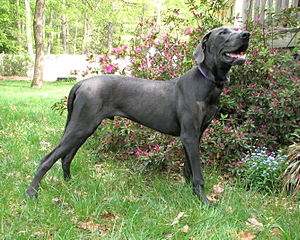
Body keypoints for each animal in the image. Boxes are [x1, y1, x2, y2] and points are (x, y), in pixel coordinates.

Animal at [27, 27, 250, 203]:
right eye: (223, 33)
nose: (246, 34)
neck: (207, 82)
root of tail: (81, 83)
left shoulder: (195, 135)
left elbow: (189, 168)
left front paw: (191, 194)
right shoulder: (189, 135)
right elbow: (198, 173)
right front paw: (204, 201)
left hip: (84, 128)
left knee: (66, 157)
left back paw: (70, 185)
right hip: (80, 126)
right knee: (47, 158)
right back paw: (31, 193)